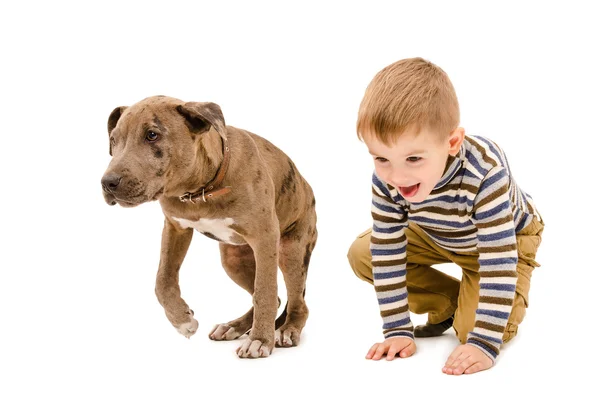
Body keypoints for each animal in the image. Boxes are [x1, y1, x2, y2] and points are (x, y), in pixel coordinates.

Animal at [102, 94, 318, 358]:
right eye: (113, 140)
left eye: (152, 135)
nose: (107, 183)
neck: (200, 191)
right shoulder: (175, 228)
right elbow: (162, 280)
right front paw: (182, 320)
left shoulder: (265, 239)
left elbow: (265, 290)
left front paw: (260, 340)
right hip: (233, 260)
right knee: (275, 298)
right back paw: (234, 327)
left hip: (291, 252)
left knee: (296, 301)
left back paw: (287, 330)